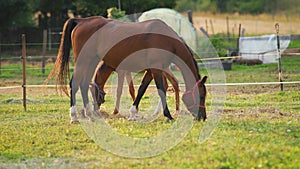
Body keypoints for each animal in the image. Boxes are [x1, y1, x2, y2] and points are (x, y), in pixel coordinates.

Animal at [47, 16, 207, 123]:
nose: (202, 117)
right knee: (75, 84)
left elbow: (141, 89)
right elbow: (160, 90)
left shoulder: (151, 70)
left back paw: (90, 115)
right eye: (202, 96)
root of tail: (81, 21)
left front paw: (133, 114)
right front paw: (168, 115)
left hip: (92, 62)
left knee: (84, 84)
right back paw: (74, 117)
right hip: (84, 61)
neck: (166, 40)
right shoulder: (155, 69)